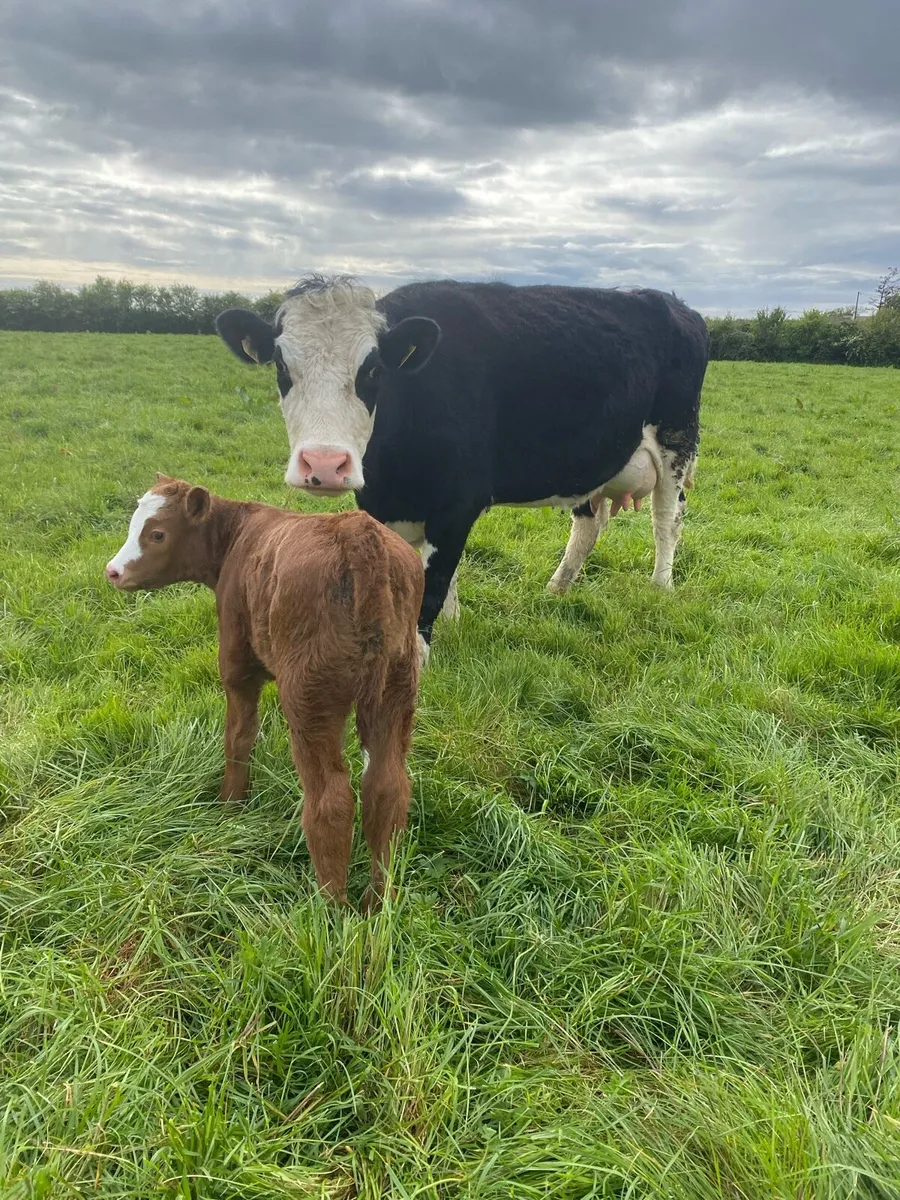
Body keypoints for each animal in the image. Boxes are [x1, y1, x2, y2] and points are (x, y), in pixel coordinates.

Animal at [105, 474, 424, 909]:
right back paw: (379, 903)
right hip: (396, 687)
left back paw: (331, 909)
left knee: (330, 798)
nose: (113, 571)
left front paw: (229, 806)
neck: (236, 539)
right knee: (387, 789)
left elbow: (239, 736)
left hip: (310, 694)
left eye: (157, 534)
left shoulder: (236, 662)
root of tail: (359, 534)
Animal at [215, 277, 709, 665]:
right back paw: (557, 588)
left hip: (677, 441)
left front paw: (417, 659)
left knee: (667, 520)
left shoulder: (456, 503)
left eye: (372, 369)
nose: (323, 464)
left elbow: (433, 583)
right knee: (589, 525)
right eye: (282, 366)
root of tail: (676, 304)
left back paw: (661, 586)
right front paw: (451, 624)